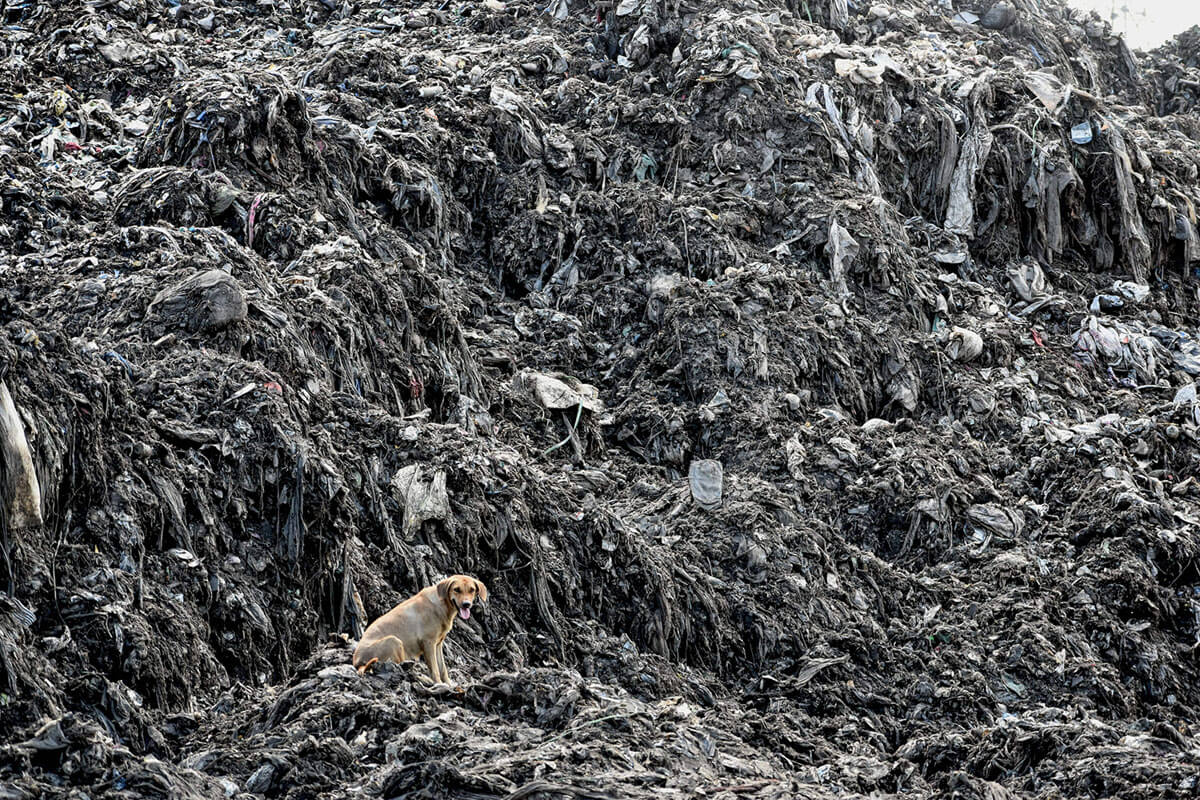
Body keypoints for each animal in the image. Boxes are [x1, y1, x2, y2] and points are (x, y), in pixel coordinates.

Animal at [350, 573, 487, 686]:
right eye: (457, 589)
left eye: (472, 590)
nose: (466, 604)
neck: (442, 604)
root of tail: (357, 662)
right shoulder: (428, 643)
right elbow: (435, 669)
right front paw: (439, 684)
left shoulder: (438, 644)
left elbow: (443, 669)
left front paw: (449, 684)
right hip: (394, 641)